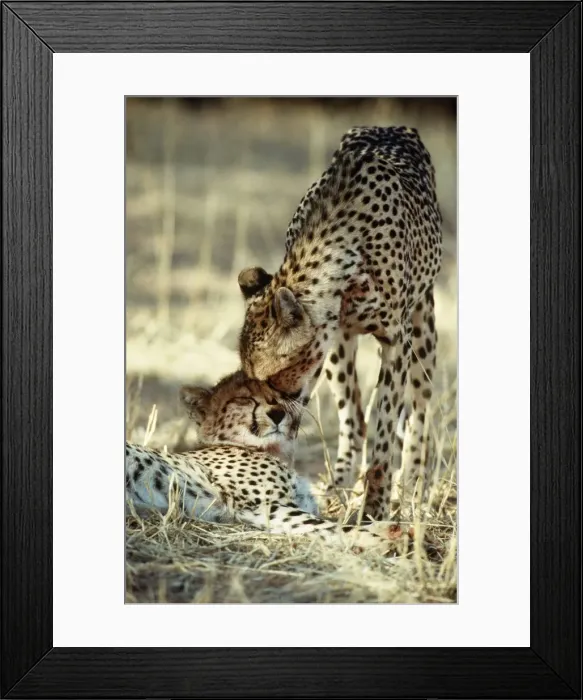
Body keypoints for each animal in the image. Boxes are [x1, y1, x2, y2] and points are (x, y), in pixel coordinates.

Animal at [125, 369, 398, 553]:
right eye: (245, 399)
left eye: (280, 395)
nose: (277, 414)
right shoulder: (265, 507)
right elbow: (325, 525)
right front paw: (384, 535)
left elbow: (329, 521)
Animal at [237, 126, 443, 521]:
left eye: (272, 377)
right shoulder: (328, 340)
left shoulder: (396, 340)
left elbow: (385, 431)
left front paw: (375, 508)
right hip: (340, 349)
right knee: (353, 416)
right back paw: (342, 484)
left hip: (423, 325)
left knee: (418, 411)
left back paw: (411, 487)